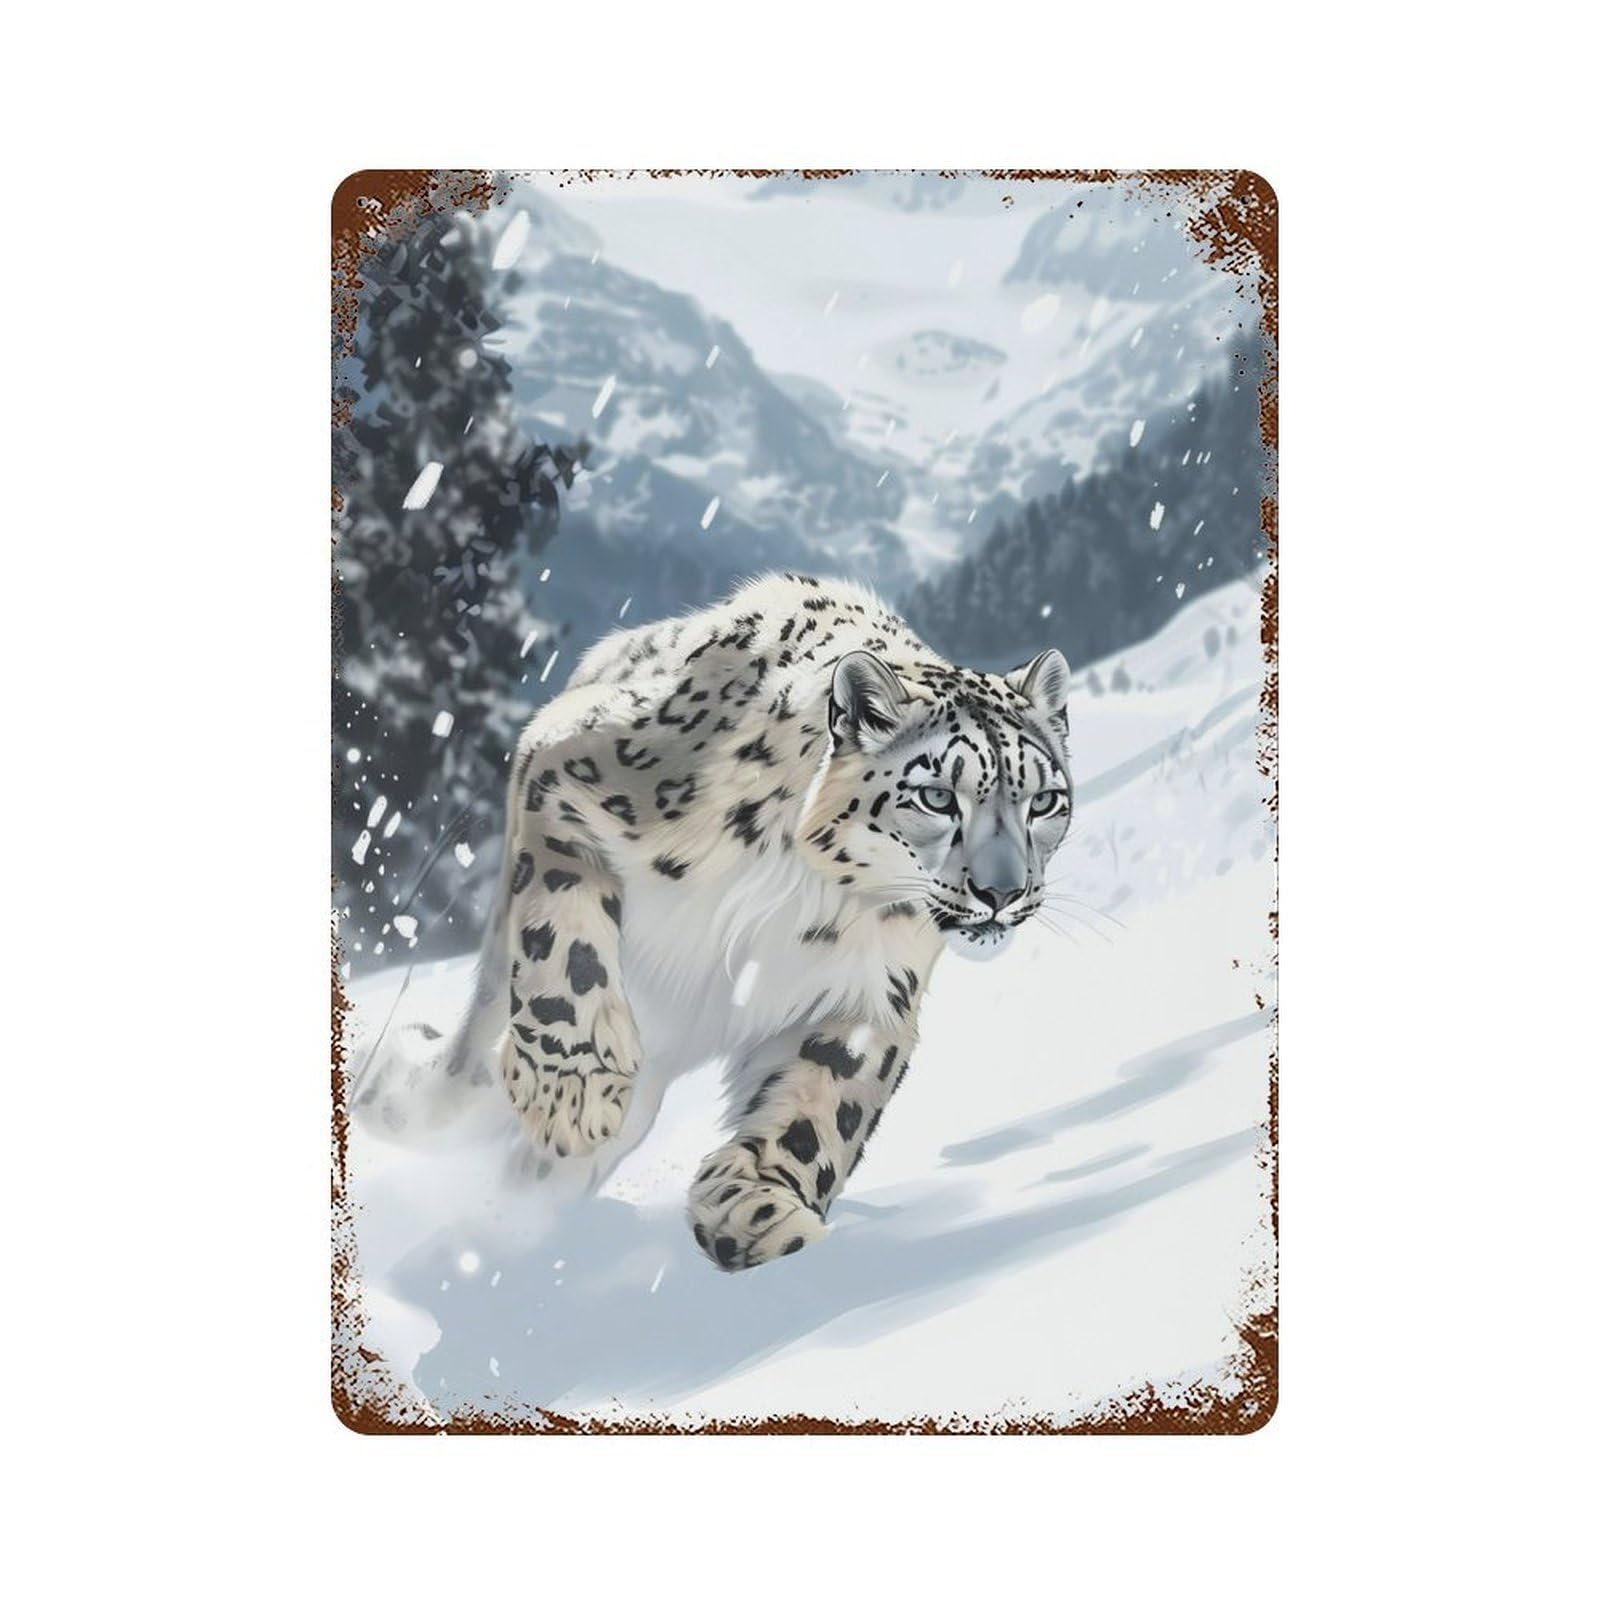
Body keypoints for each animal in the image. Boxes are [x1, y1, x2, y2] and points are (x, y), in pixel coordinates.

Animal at [357, 572, 1073, 1271]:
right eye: (936, 796)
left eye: (1044, 801)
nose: (1003, 892)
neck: (811, 887)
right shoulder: (565, 770)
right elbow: (567, 942)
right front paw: (574, 1090)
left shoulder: (872, 991)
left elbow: (827, 1101)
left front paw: (756, 1207)